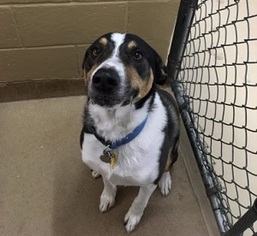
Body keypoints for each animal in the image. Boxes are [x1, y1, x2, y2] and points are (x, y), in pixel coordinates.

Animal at [79, 32, 178, 232]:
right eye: (95, 51)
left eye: (138, 54)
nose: (104, 78)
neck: (114, 135)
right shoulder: (104, 167)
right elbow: (108, 182)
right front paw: (107, 196)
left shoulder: (148, 183)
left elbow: (140, 200)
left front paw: (133, 216)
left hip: (174, 148)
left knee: (169, 165)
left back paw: (165, 181)